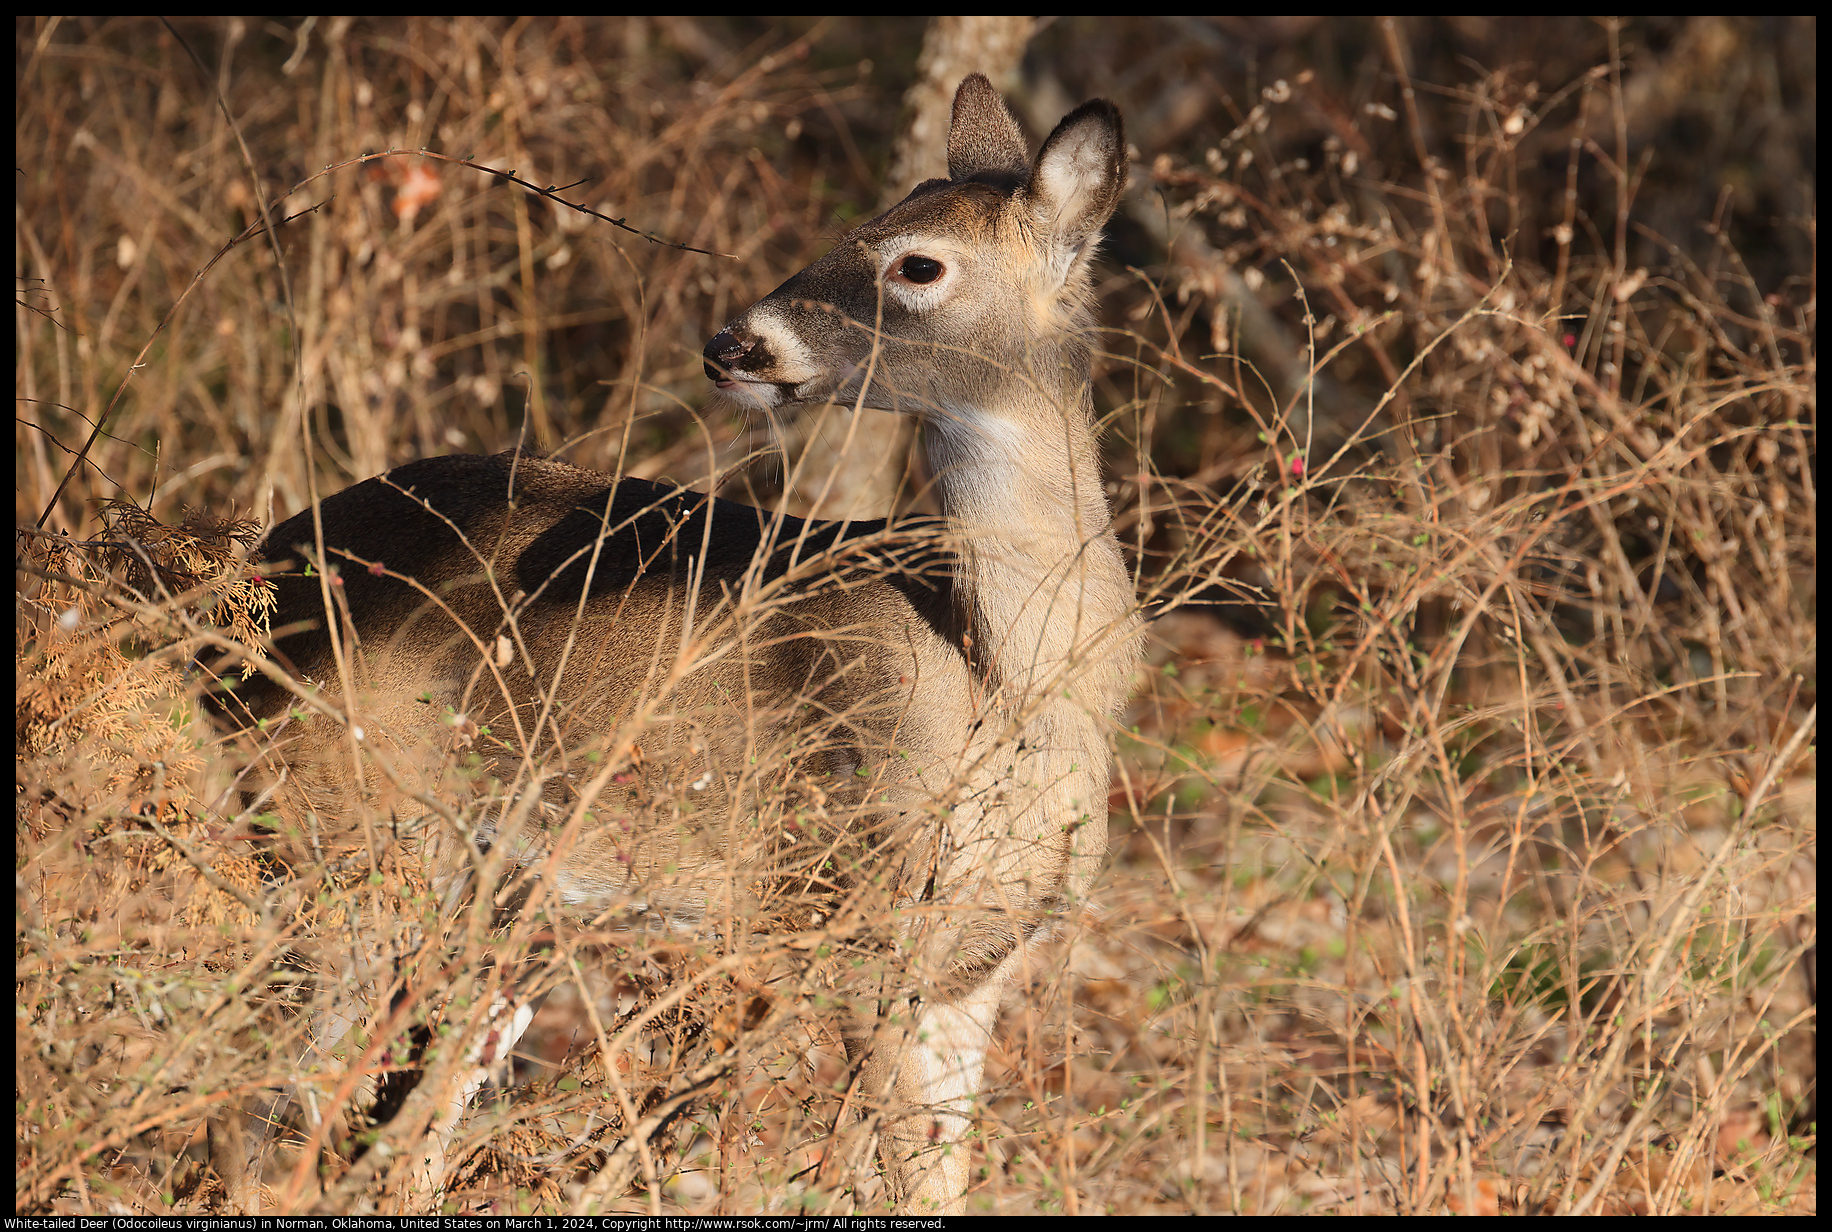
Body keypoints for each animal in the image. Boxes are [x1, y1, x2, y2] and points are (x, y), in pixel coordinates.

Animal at [221, 69, 1135, 1210]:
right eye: (853, 224)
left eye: (917, 262)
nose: (735, 344)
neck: (1003, 688)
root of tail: (248, 584)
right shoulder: (844, 911)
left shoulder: (974, 967)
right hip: (351, 823)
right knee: (264, 1089)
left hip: (486, 898)